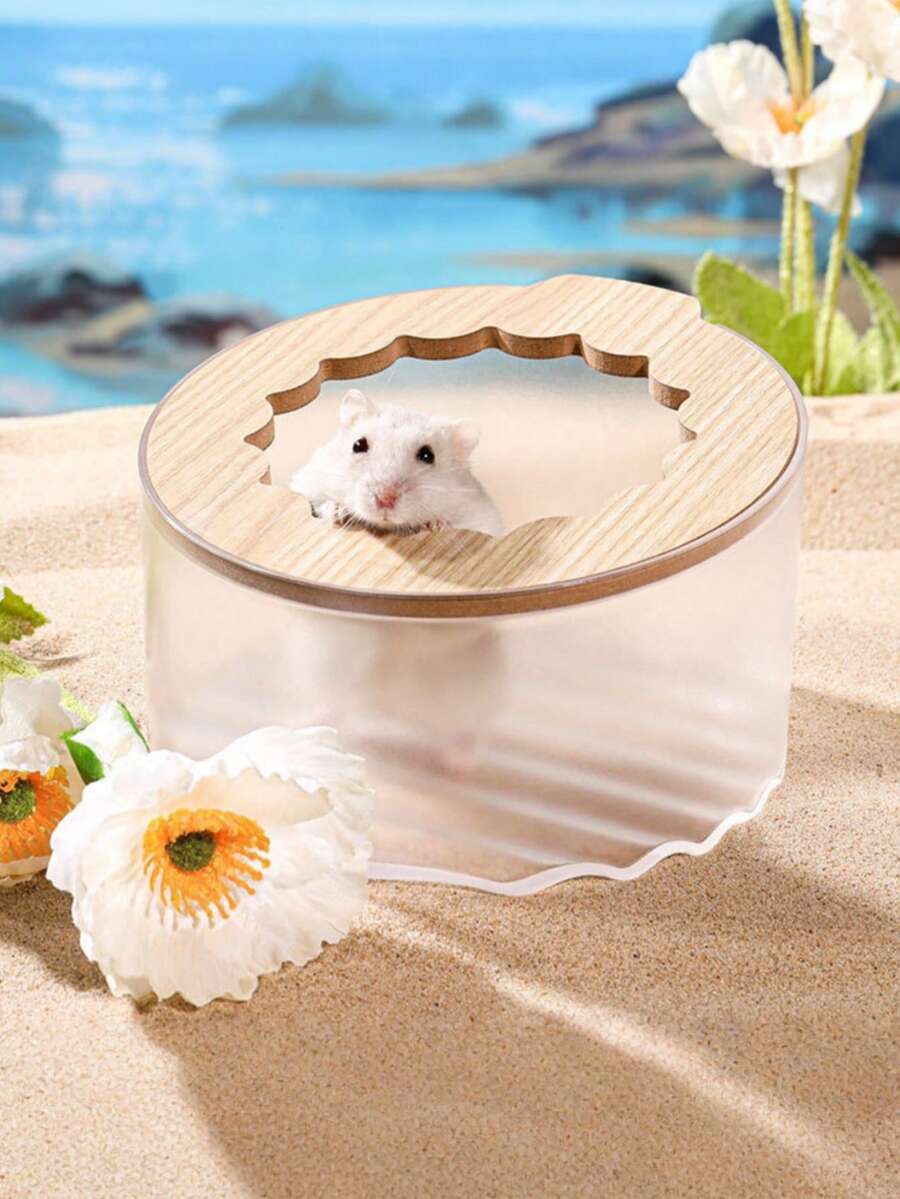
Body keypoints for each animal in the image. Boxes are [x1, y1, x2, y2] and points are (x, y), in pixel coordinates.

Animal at [289, 388, 504, 537]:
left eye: (428, 455)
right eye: (358, 444)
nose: (385, 498)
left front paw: (434, 525)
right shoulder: (309, 482)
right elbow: (321, 502)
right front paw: (340, 512)